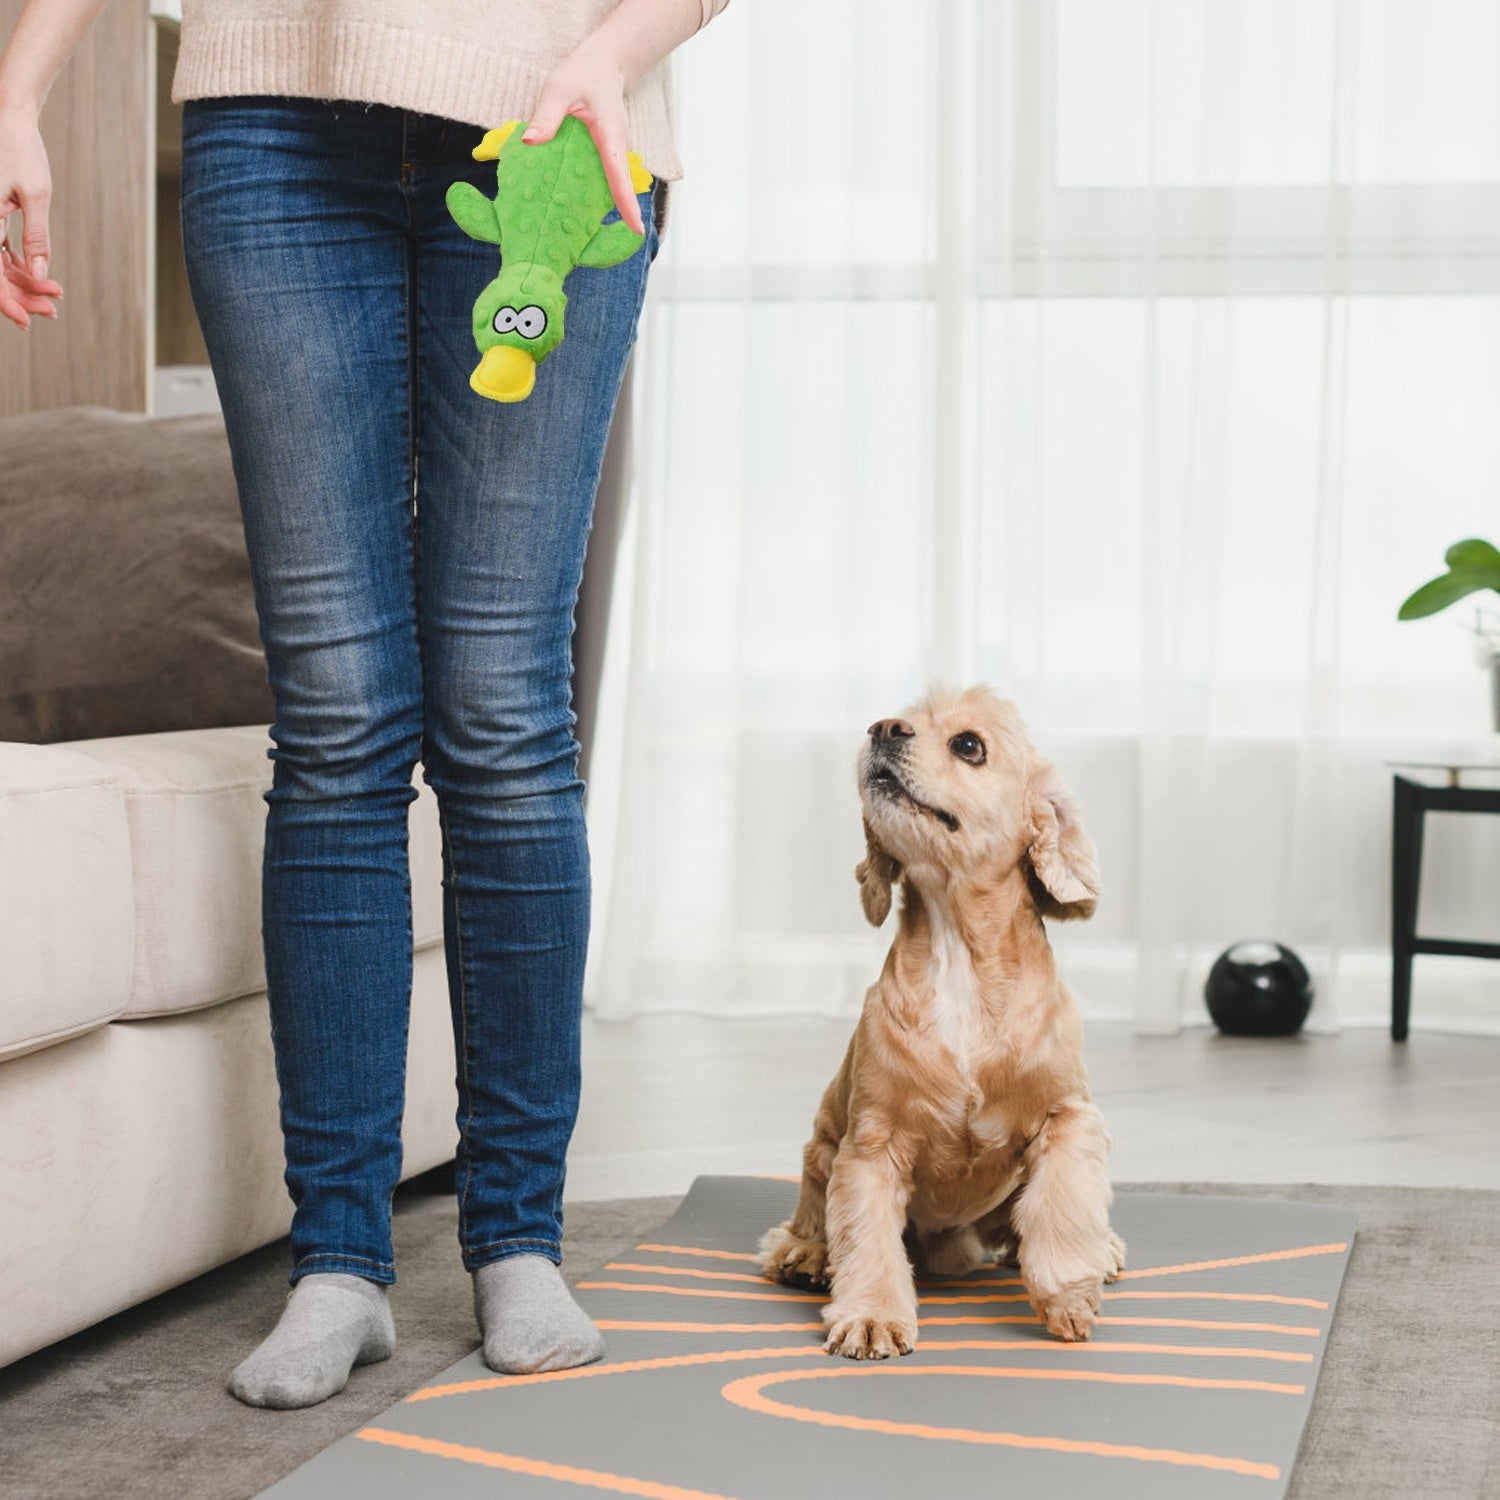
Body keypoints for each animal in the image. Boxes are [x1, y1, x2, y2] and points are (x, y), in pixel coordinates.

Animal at [762, 687, 1128, 1362]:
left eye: (969, 745)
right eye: (903, 718)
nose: (882, 728)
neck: (958, 947)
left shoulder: (1068, 1117)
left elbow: (1062, 1208)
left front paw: (1068, 1296)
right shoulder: (870, 1145)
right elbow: (867, 1240)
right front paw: (872, 1318)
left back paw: (1102, 1250)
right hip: (819, 1151)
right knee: (811, 1218)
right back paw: (806, 1255)